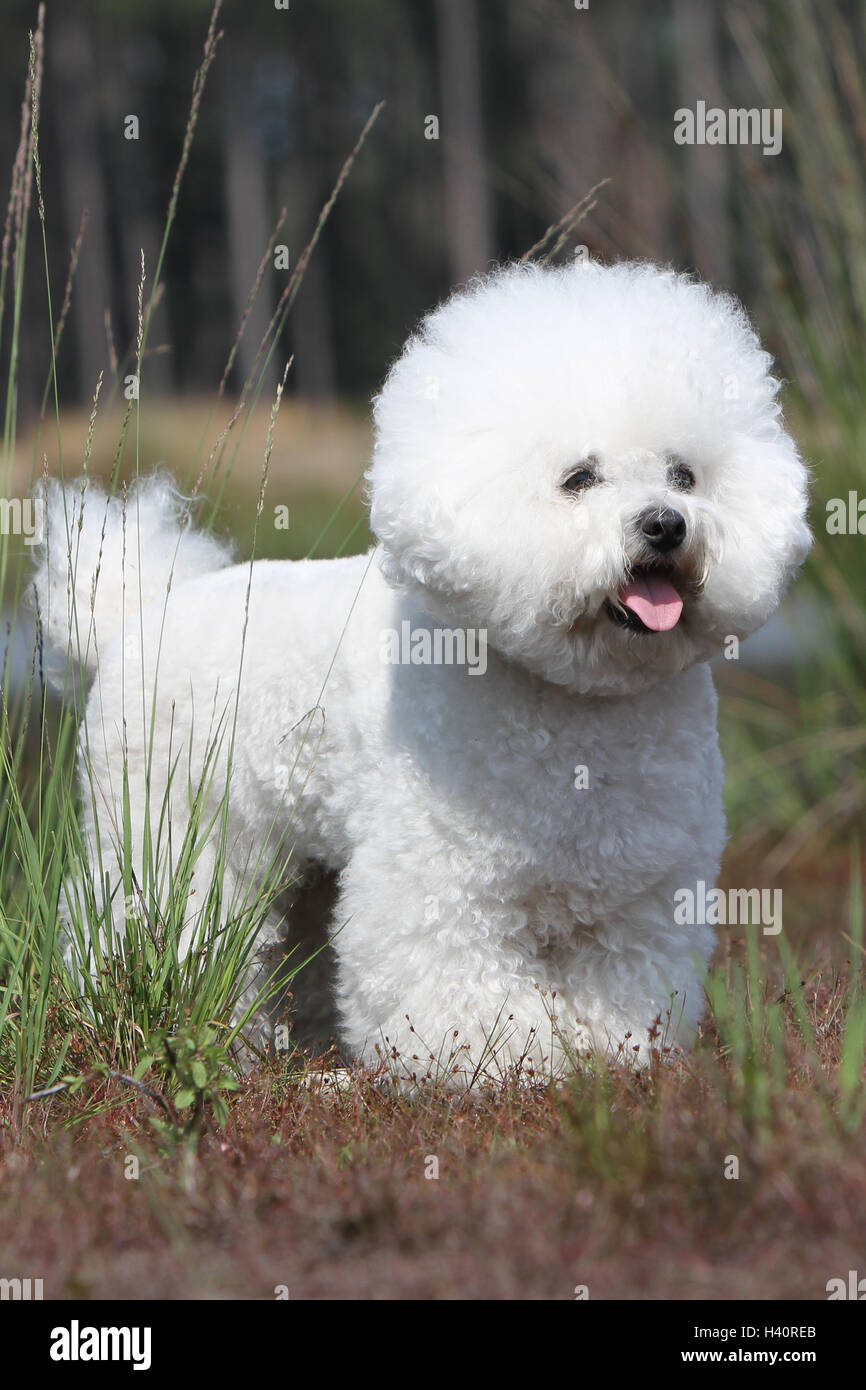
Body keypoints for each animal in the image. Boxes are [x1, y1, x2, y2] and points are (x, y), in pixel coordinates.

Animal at [32, 258, 811, 1084]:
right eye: (579, 478)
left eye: (684, 476)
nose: (665, 524)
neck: (572, 703)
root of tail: (137, 613)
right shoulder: (442, 883)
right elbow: (459, 992)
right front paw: (506, 1064)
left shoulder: (639, 896)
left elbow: (622, 987)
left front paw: (607, 1056)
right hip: (165, 829)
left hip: (303, 862)